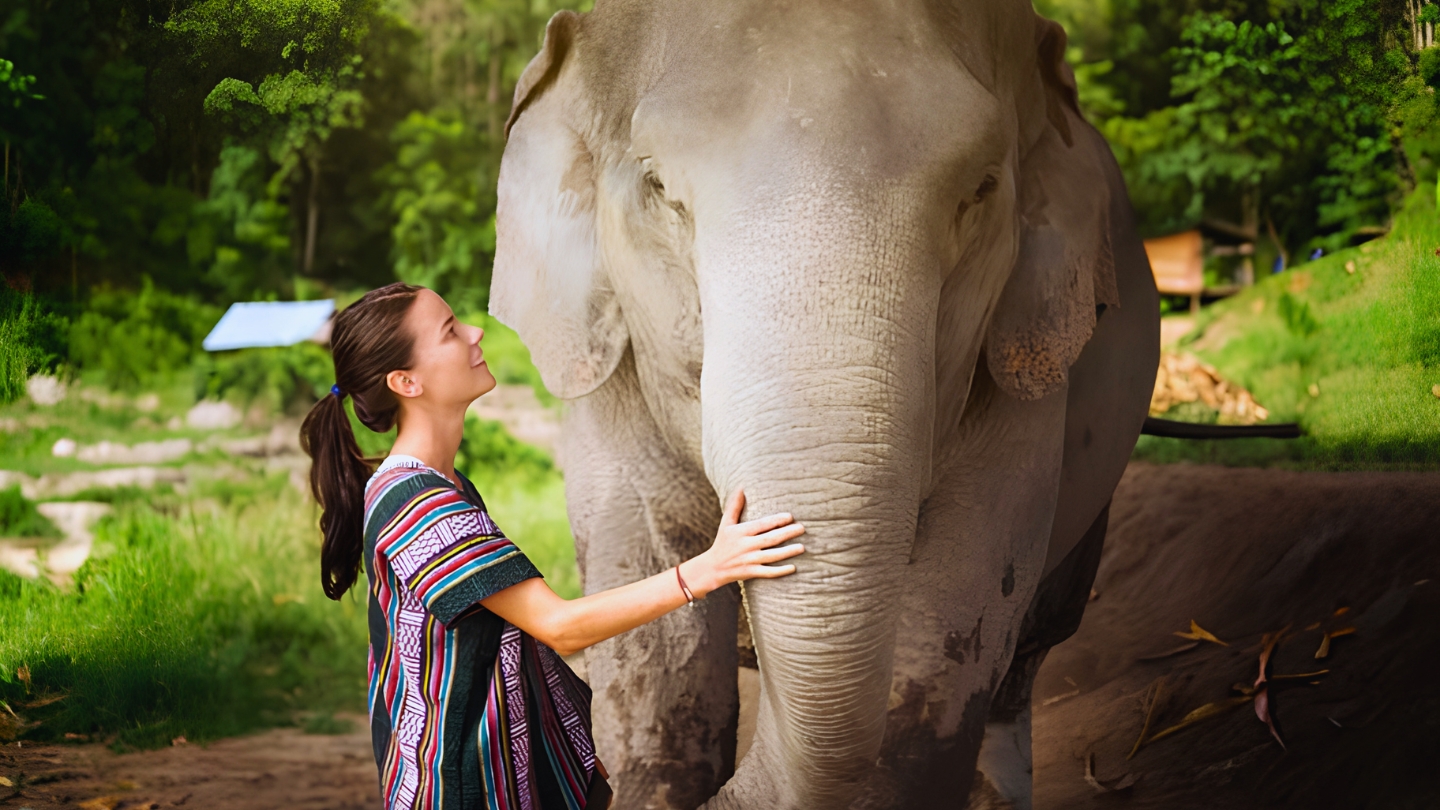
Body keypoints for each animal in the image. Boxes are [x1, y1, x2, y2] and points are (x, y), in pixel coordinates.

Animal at [489, 1, 1159, 807]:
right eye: (659, 190)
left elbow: (942, 649)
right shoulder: (608, 368)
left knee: (1029, 649)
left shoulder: (1021, 370)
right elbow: (656, 661)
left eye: (981, 188)